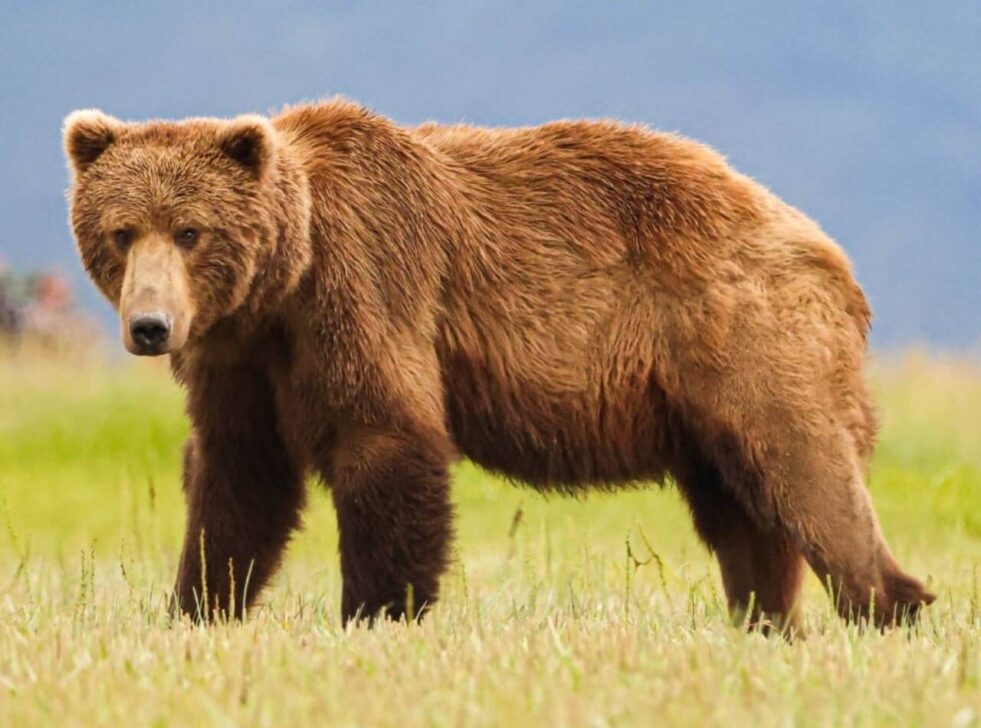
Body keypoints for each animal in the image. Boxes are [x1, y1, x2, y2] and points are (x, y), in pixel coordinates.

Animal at [63, 98, 934, 631]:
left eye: (191, 231)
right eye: (121, 231)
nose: (149, 326)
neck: (284, 278)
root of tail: (828, 252)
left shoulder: (365, 291)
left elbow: (386, 438)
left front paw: (378, 612)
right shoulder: (242, 357)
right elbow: (239, 478)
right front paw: (197, 607)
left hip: (747, 336)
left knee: (803, 472)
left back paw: (890, 605)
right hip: (702, 403)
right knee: (745, 515)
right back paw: (766, 620)